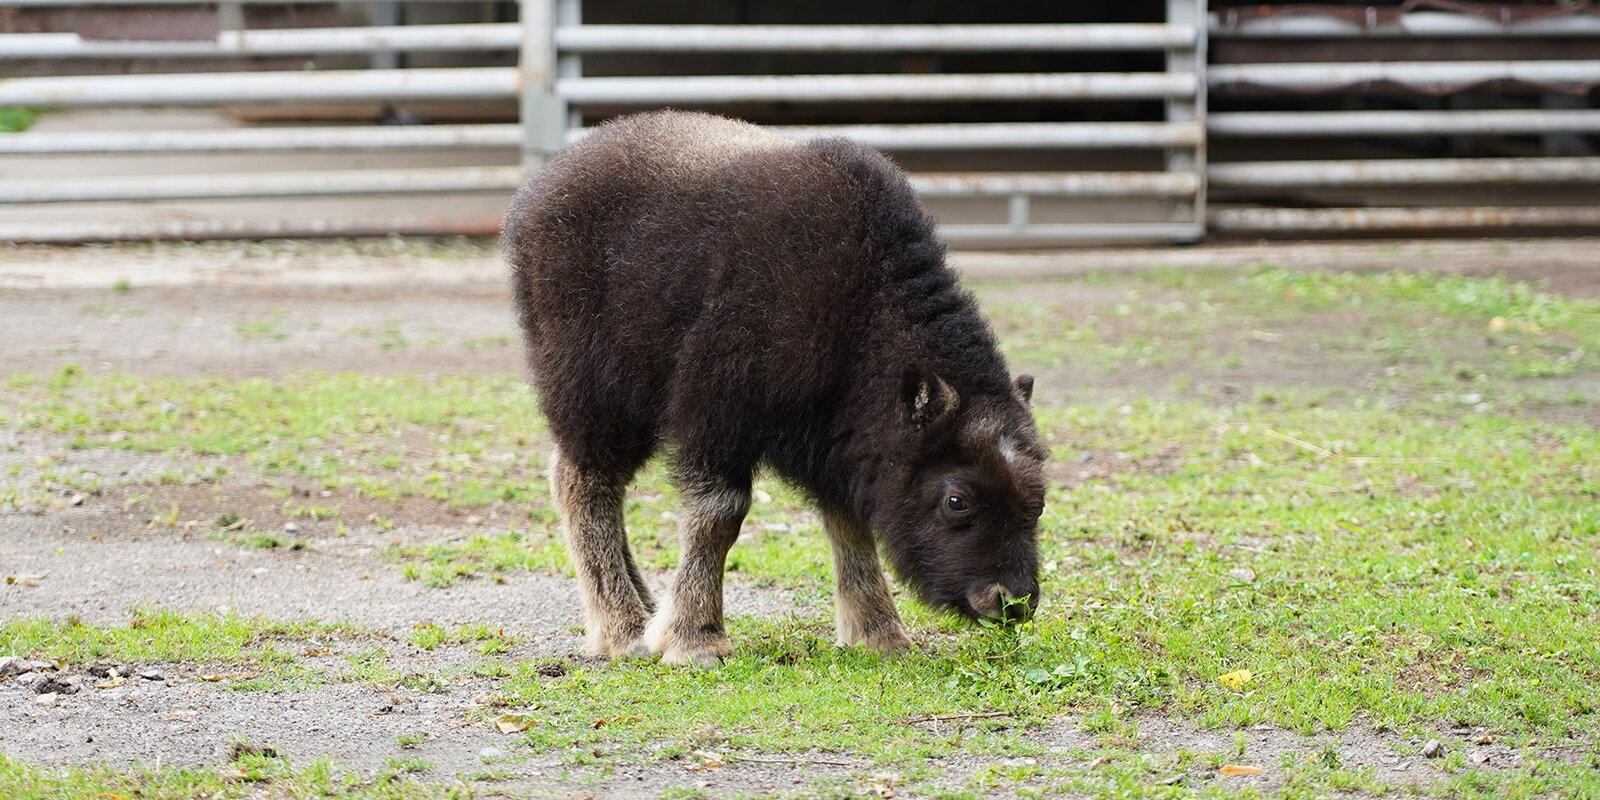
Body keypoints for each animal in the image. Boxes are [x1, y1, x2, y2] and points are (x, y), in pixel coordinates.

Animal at [502, 109, 1049, 665]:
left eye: (1040, 499)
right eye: (957, 500)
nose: (1012, 601)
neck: (858, 309)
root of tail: (540, 192)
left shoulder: (834, 440)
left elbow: (848, 521)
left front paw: (880, 634)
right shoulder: (716, 415)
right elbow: (719, 515)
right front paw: (696, 640)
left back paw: (647, 609)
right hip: (596, 396)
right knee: (584, 482)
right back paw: (624, 628)